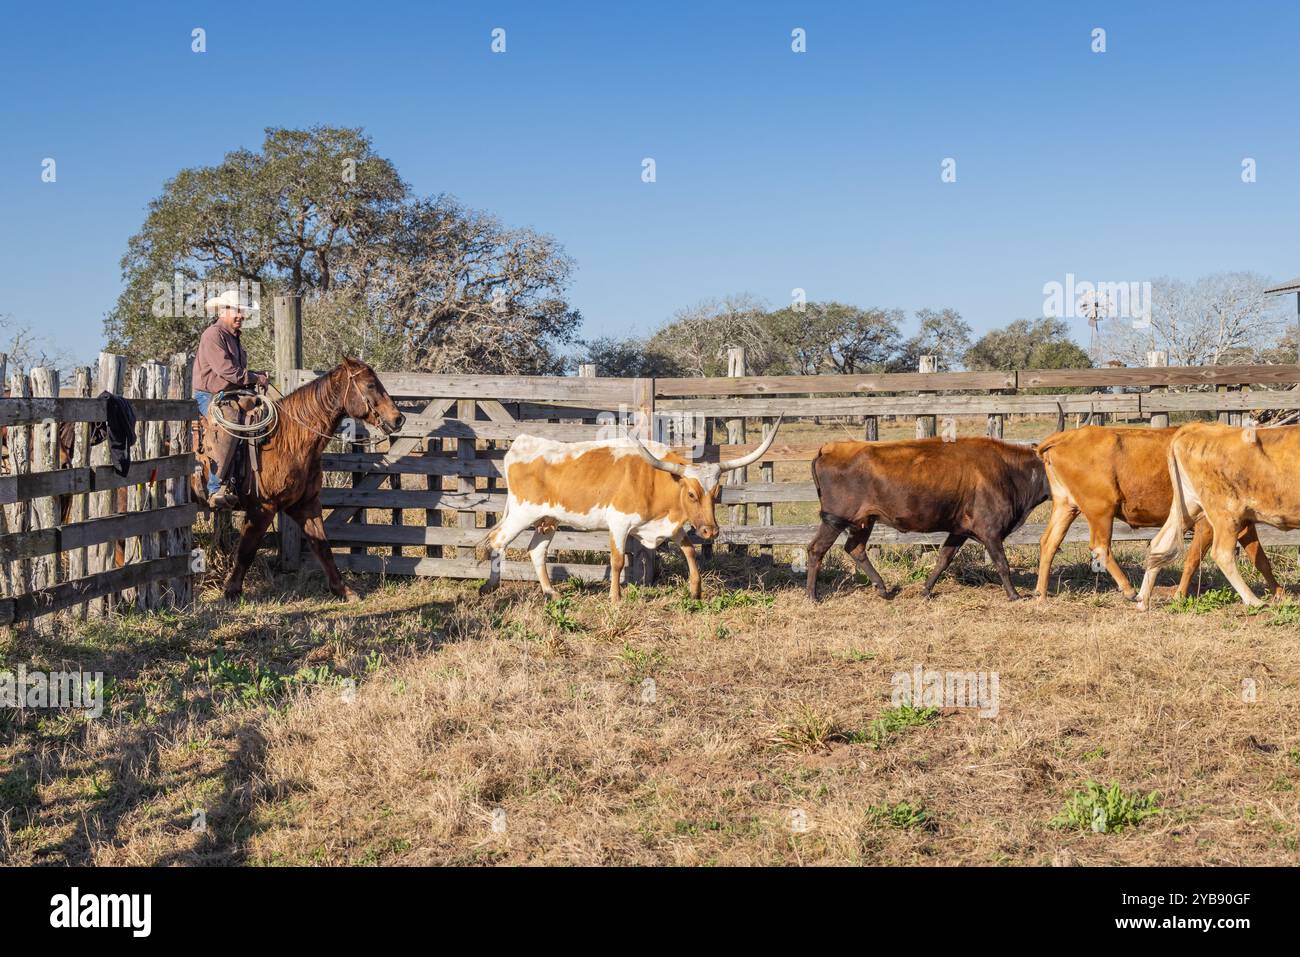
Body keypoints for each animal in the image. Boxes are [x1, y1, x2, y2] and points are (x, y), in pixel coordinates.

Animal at [194, 356, 405, 601]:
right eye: (371, 385)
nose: (399, 419)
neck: (288, 439)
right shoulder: (262, 508)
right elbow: (247, 550)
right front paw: (232, 591)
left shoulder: (305, 504)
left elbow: (322, 547)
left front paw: (343, 590)